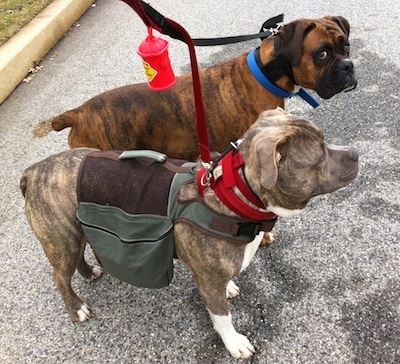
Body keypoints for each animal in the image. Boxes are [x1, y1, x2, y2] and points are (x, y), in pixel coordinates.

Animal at [21, 108, 360, 358]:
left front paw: (230, 287)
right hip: (61, 239)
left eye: (326, 141)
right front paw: (234, 343)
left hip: (75, 231)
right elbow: (222, 318)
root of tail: (34, 170)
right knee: (60, 276)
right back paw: (76, 308)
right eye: (319, 156)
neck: (235, 193)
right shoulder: (208, 281)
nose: (355, 152)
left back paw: (90, 272)